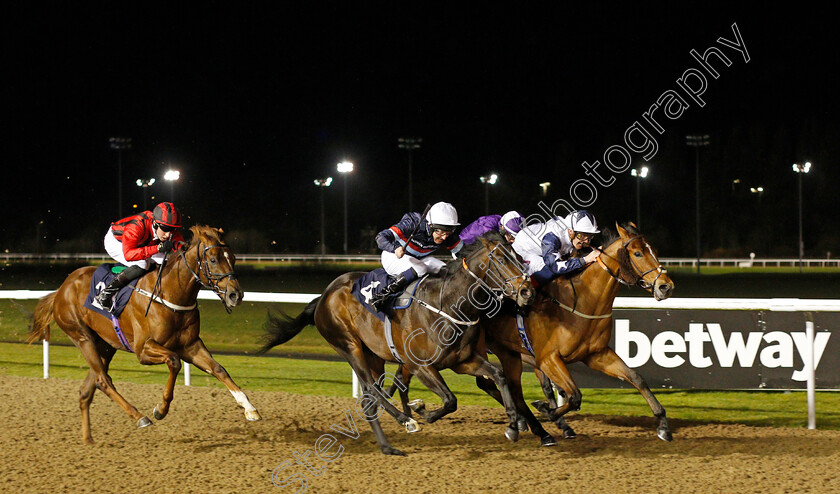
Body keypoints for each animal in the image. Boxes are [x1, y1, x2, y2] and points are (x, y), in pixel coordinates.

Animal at [26, 224, 260, 444]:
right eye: (212, 260)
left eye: (233, 258)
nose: (236, 295)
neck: (170, 293)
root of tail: (61, 289)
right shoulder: (144, 349)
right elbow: (174, 361)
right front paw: (160, 409)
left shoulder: (191, 345)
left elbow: (219, 370)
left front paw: (250, 409)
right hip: (82, 337)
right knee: (103, 380)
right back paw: (139, 416)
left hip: (105, 345)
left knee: (88, 389)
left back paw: (88, 440)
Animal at [262, 232, 536, 456]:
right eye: (500, 259)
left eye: (518, 257)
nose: (526, 291)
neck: (447, 303)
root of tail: (323, 296)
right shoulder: (420, 365)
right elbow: (450, 400)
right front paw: (420, 410)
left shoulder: (463, 361)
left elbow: (499, 376)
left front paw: (514, 425)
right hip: (349, 346)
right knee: (371, 391)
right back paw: (405, 421)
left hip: (374, 355)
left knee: (370, 398)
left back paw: (387, 446)